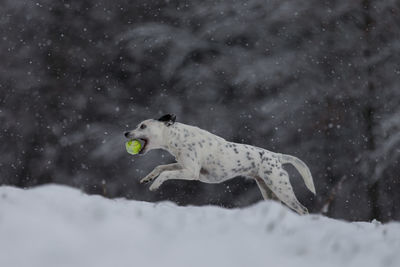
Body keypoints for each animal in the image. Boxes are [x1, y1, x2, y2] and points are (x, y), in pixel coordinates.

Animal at [125, 114, 316, 215]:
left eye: (142, 126)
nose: (126, 133)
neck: (176, 137)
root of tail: (276, 156)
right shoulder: (183, 165)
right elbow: (161, 168)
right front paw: (148, 178)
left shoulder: (191, 172)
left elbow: (165, 174)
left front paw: (155, 185)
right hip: (269, 190)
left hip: (281, 188)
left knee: (303, 209)